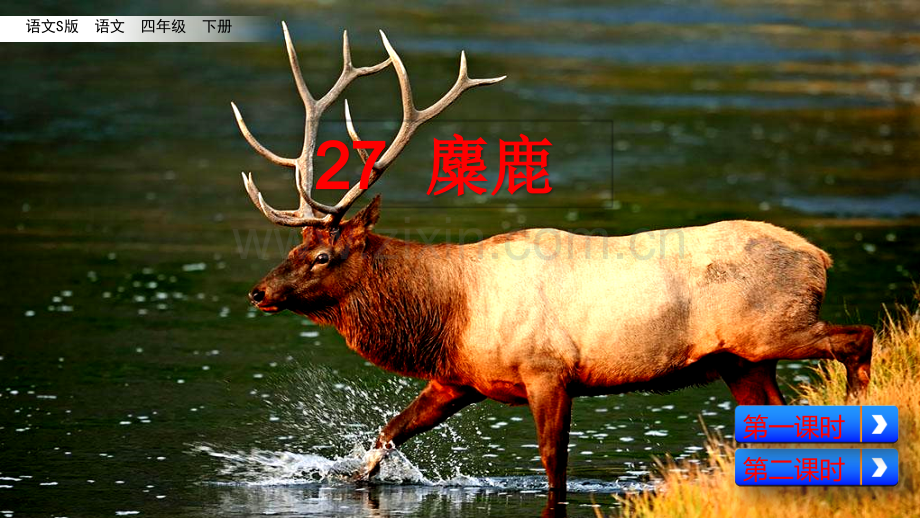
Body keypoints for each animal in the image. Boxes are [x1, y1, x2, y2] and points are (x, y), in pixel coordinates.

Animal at [231, 23, 874, 516]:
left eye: (323, 255)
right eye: (298, 246)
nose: (259, 290)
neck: (448, 312)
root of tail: (820, 257)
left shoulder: (548, 370)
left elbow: (554, 468)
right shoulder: (459, 378)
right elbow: (387, 435)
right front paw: (347, 476)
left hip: (772, 328)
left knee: (858, 336)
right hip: (740, 360)